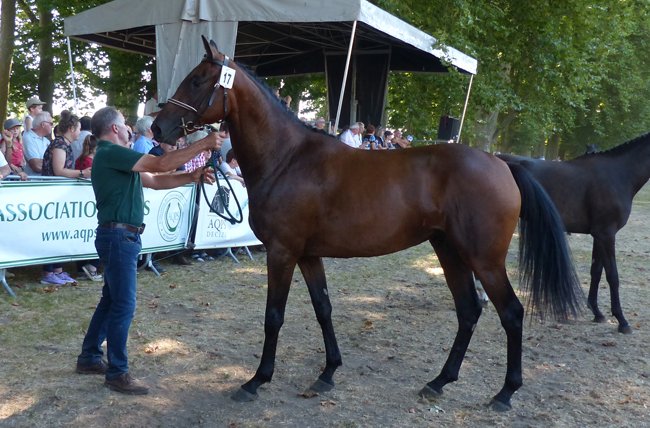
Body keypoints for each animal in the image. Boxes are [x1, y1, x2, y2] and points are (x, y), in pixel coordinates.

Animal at [152, 37, 582, 411]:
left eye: (197, 79)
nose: (158, 127)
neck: (288, 158)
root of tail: (501, 163)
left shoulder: (282, 252)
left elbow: (274, 317)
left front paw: (257, 380)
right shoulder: (308, 255)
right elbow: (323, 308)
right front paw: (328, 372)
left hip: (484, 260)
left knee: (510, 313)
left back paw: (504, 394)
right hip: (449, 251)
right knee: (469, 311)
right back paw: (439, 381)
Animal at [499, 134, 650, 334]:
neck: (619, 174)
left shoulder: (598, 235)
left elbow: (596, 271)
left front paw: (597, 313)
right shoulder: (606, 234)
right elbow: (613, 276)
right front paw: (622, 321)